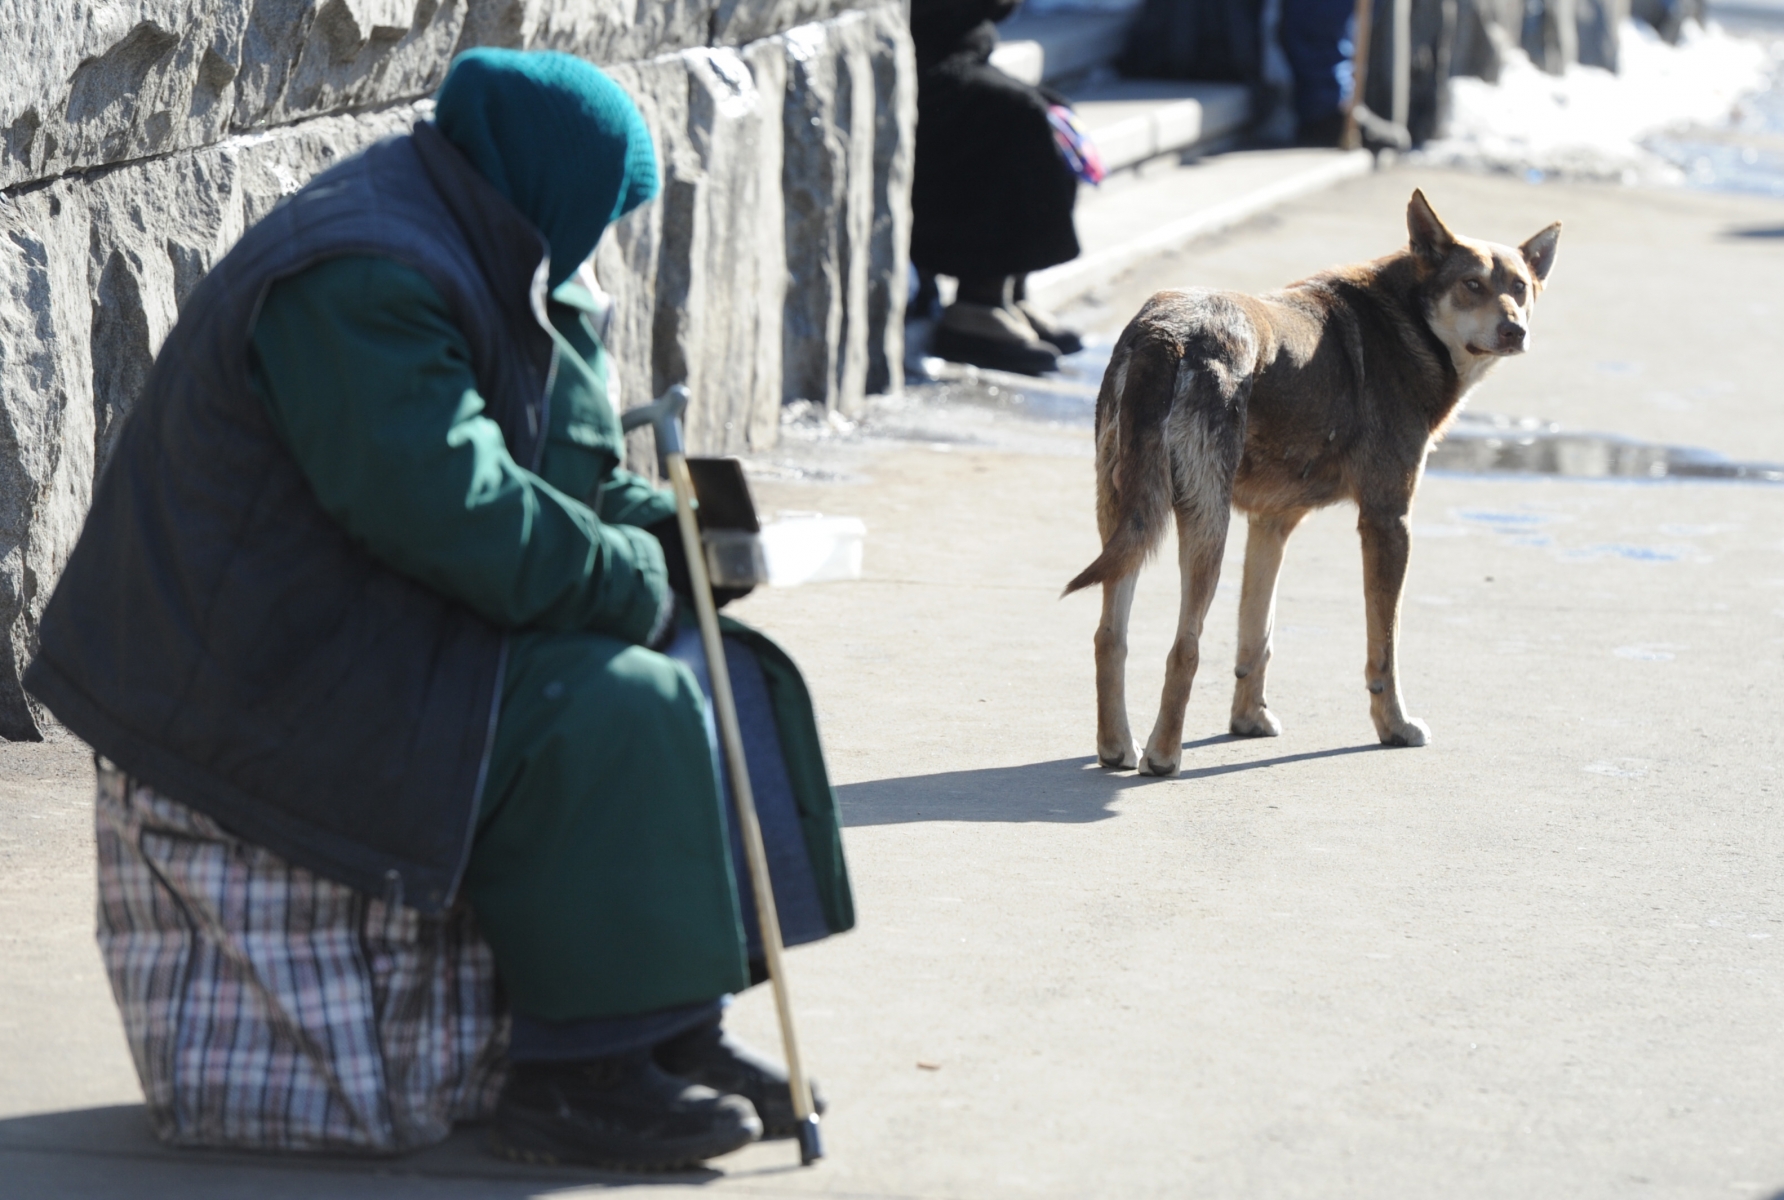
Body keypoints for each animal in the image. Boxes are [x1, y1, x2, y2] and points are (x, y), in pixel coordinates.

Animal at [1063, 187, 1555, 766]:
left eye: (1520, 287)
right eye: (1471, 284)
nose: (1515, 330)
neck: (1408, 321)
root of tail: (1167, 335)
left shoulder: (1271, 525)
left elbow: (1257, 638)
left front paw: (1248, 720)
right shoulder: (1388, 522)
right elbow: (1384, 649)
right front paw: (1394, 726)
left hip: (1124, 519)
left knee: (1109, 638)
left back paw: (1118, 746)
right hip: (1205, 526)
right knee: (1184, 647)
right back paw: (1163, 758)